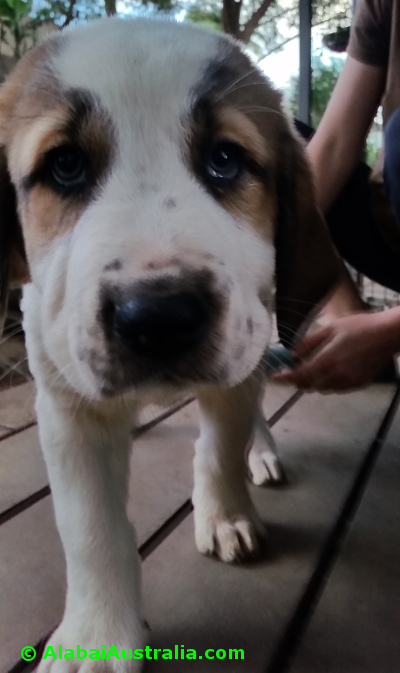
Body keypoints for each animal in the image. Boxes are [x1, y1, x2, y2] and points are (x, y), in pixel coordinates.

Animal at [0, 17, 340, 672]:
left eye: (226, 159)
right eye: (65, 166)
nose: (157, 316)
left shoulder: (237, 361)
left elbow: (221, 449)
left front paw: (226, 514)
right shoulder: (68, 406)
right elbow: (90, 527)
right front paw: (96, 640)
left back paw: (261, 452)